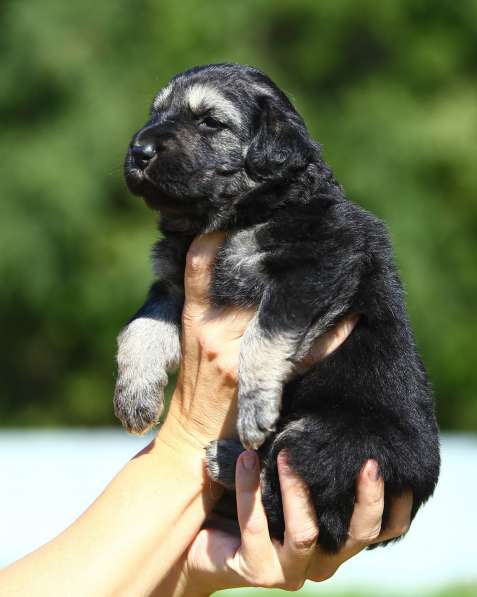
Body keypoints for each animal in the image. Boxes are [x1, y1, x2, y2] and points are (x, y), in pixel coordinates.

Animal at [112, 62, 438, 552]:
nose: (139, 150)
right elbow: (141, 326)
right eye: (156, 113)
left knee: (290, 505)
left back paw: (231, 460)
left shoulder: (317, 266)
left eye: (210, 122)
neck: (240, 216)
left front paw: (254, 408)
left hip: (331, 443)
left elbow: (264, 337)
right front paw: (134, 392)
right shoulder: (173, 281)